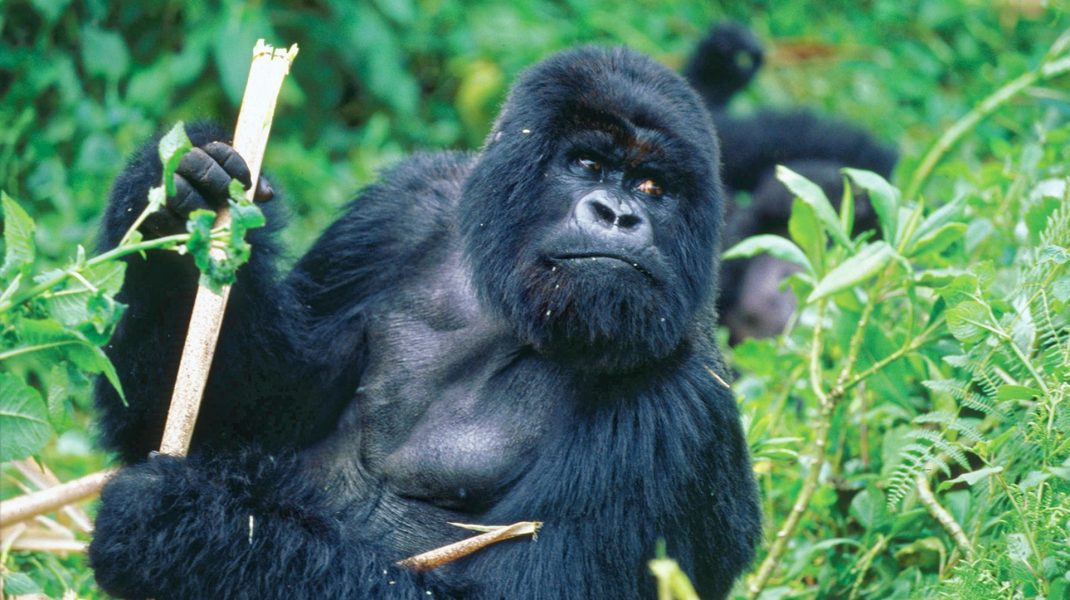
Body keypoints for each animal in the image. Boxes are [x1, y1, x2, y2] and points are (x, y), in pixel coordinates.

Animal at [89, 46, 761, 598]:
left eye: (651, 187)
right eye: (587, 164)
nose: (619, 216)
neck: (512, 308)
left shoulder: (680, 411)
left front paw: (175, 524)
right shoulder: (399, 212)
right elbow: (239, 419)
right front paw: (178, 198)